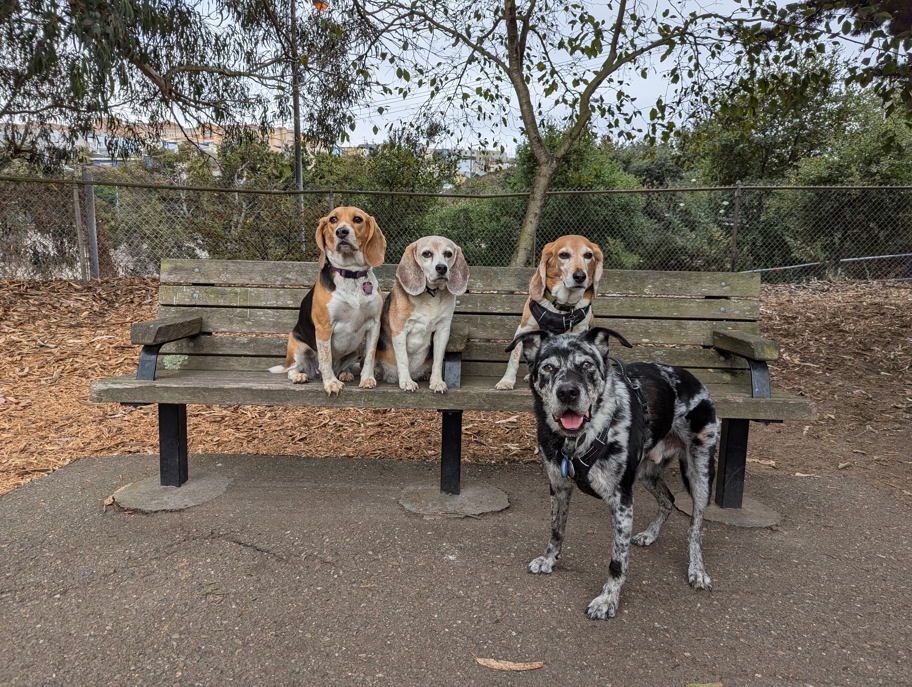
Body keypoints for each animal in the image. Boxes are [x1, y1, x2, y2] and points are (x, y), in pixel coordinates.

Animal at [506, 326, 720, 620]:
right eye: (548, 367)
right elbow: (556, 530)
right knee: (668, 500)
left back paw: (697, 570)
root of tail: (692, 378)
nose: (568, 392)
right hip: (647, 473)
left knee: (695, 528)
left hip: (700, 473)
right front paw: (550, 559)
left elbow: (617, 561)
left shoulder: (621, 500)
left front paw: (607, 600)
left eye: (587, 364)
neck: (577, 440)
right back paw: (650, 534)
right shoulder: (558, 486)